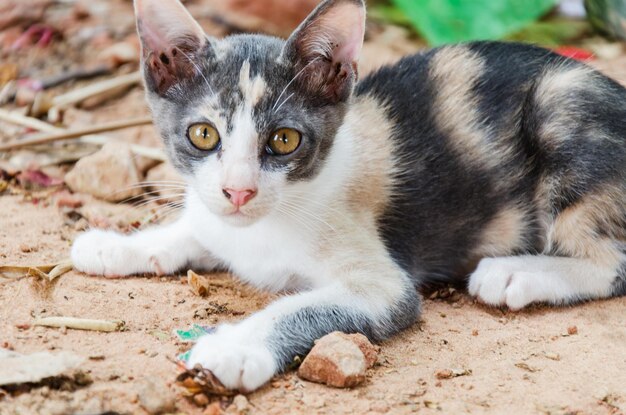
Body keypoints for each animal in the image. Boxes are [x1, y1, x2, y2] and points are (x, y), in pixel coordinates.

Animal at [70, 0, 624, 394]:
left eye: (285, 140)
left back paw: (517, 273)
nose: (240, 190)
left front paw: (234, 348)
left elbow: (300, 307)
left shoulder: (384, 286)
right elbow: (193, 228)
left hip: (562, 106)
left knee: (612, 261)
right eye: (203, 135)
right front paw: (116, 245)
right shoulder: (217, 217)